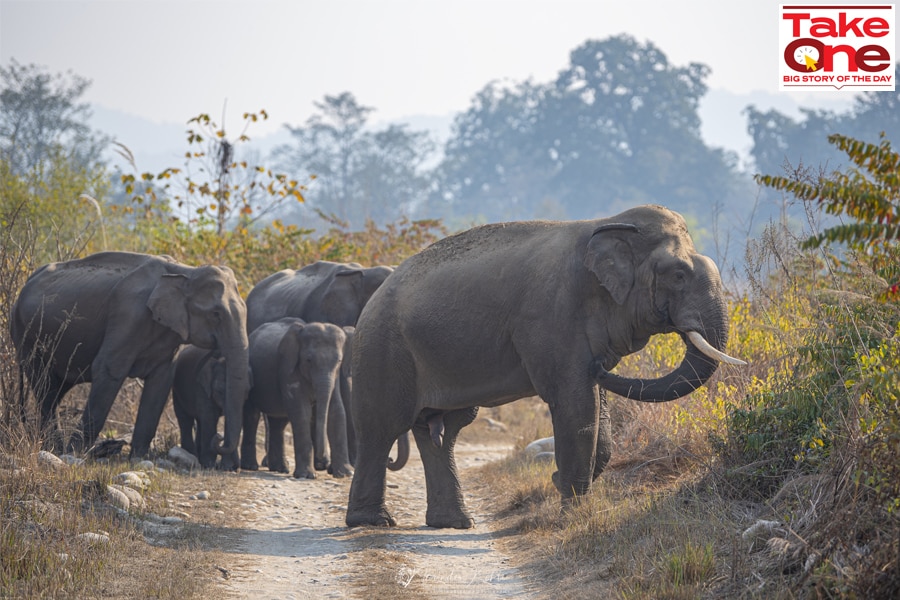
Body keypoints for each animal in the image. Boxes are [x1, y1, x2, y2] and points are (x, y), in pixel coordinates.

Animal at [9, 251, 250, 458]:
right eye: (216, 314)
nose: (219, 438)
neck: (185, 272)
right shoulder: (128, 314)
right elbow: (109, 369)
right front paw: (75, 455)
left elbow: (160, 382)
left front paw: (138, 458)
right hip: (26, 336)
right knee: (45, 388)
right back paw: (56, 449)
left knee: (55, 389)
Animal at [239, 318, 352, 478]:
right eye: (308, 360)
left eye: (339, 361)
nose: (323, 463)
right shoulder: (288, 368)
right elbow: (302, 412)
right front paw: (306, 476)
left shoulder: (335, 376)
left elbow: (336, 410)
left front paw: (345, 474)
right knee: (252, 416)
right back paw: (251, 466)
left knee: (278, 422)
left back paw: (280, 469)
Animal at [344, 206, 744, 528]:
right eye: (678, 275)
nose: (600, 365)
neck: (610, 224)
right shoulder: (553, 315)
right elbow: (574, 401)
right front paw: (570, 515)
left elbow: (594, 409)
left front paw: (562, 484)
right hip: (383, 349)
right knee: (382, 427)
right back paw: (373, 522)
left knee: (443, 431)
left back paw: (454, 523)